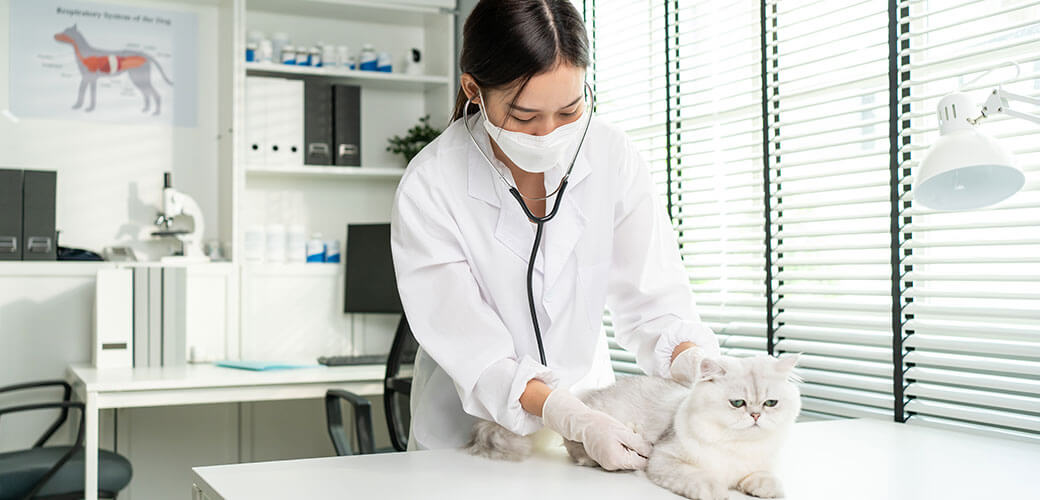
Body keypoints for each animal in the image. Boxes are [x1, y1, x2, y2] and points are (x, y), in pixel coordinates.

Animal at [467, 351, 798, 498]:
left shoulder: (756, 465)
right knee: (575, 448)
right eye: (738, 403)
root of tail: (584, 397)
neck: (737, 448)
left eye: (770, 403)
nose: (755, 416)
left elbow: (763, 478)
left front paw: (764, 488)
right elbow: (701, 479)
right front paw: (716, 490)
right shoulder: (665, 459)